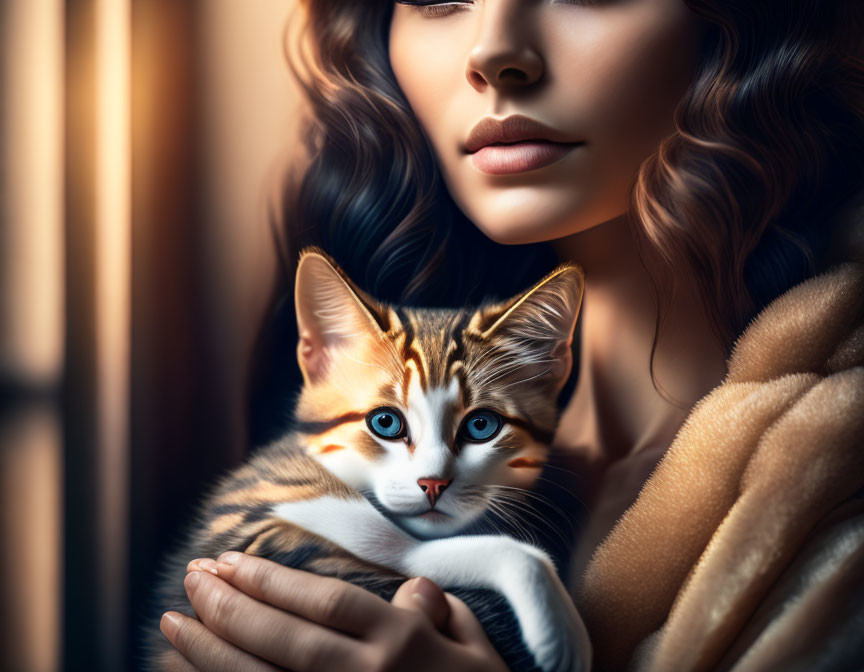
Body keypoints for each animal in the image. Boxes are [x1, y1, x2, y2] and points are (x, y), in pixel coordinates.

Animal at [145, 248, 592, 672]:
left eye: (481, 426)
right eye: (385, 422)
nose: (433, 483)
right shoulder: (254, 520)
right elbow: (406, 551)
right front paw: (554, 621)